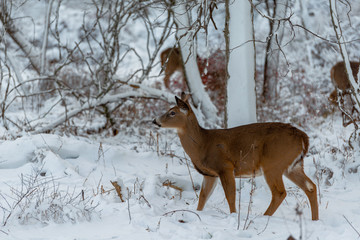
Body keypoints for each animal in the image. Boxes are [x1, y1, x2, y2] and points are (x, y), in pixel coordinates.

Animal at [152, 93, 318, 220]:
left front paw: (232, 215)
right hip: (293, 166)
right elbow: (203, 197)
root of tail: (303, 137)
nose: (154, 120)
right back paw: (315, 219)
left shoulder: (225, 166)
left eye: (172, 113)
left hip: (273, 164)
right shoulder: (210, 174)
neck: (202, 144)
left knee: (280, 192)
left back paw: (264, 217)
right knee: (311, 186)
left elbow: (230, 195)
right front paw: (197, 213)